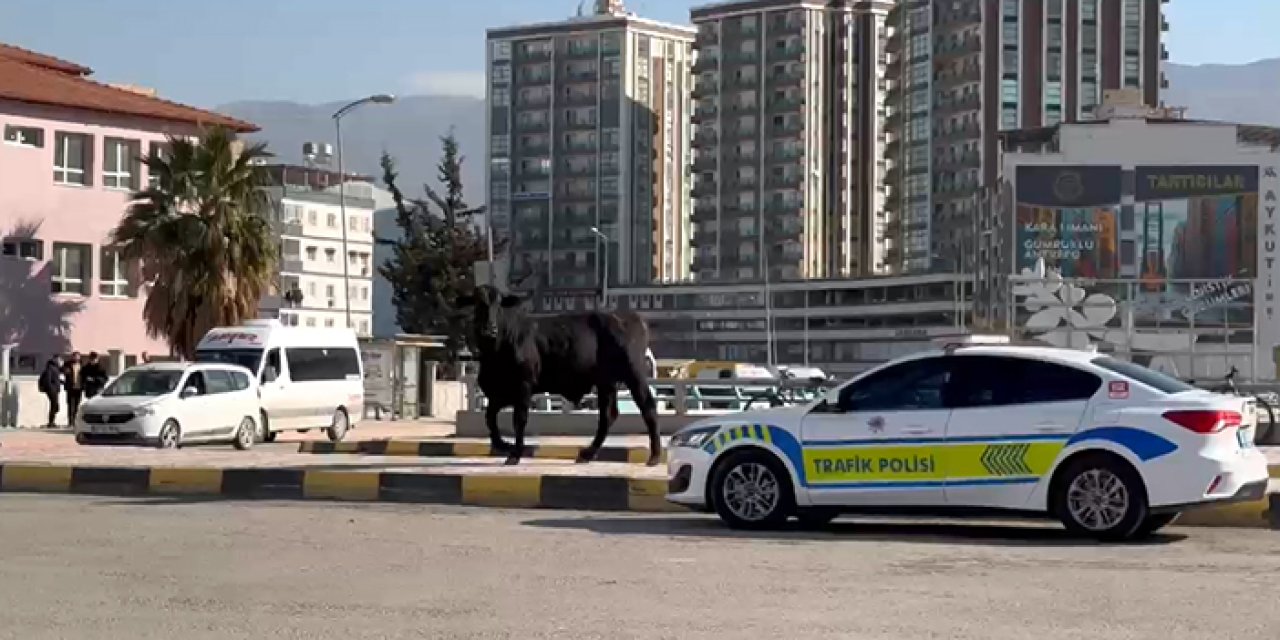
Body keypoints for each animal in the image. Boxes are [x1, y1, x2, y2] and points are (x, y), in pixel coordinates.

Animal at [455, 288, 665, 468]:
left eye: (499, 305)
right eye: (478, 303)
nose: (489, 329)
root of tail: (630, 317)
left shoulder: (523, 386)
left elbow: (519, 419)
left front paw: (515, 454)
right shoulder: (498, 393)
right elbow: (489, 418)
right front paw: (503, 445)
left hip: (634, 374)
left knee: (648, 408)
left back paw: (655, 456)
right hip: (606, 382)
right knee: (608, 414)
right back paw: (587, 453)